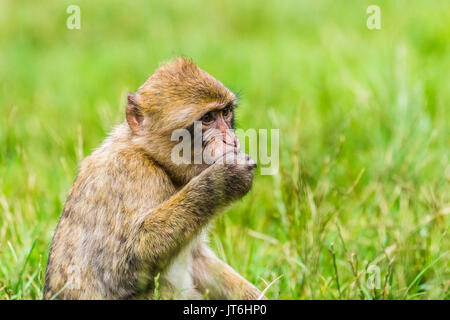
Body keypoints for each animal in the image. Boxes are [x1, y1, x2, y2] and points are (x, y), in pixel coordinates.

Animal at [43, 57, 266, 300]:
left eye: (225, 113)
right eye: (207, 118)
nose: (232, 141)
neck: (152, 158)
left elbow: (198, 259)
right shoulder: (131, 172)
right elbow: (121, 270)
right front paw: (223, 178)